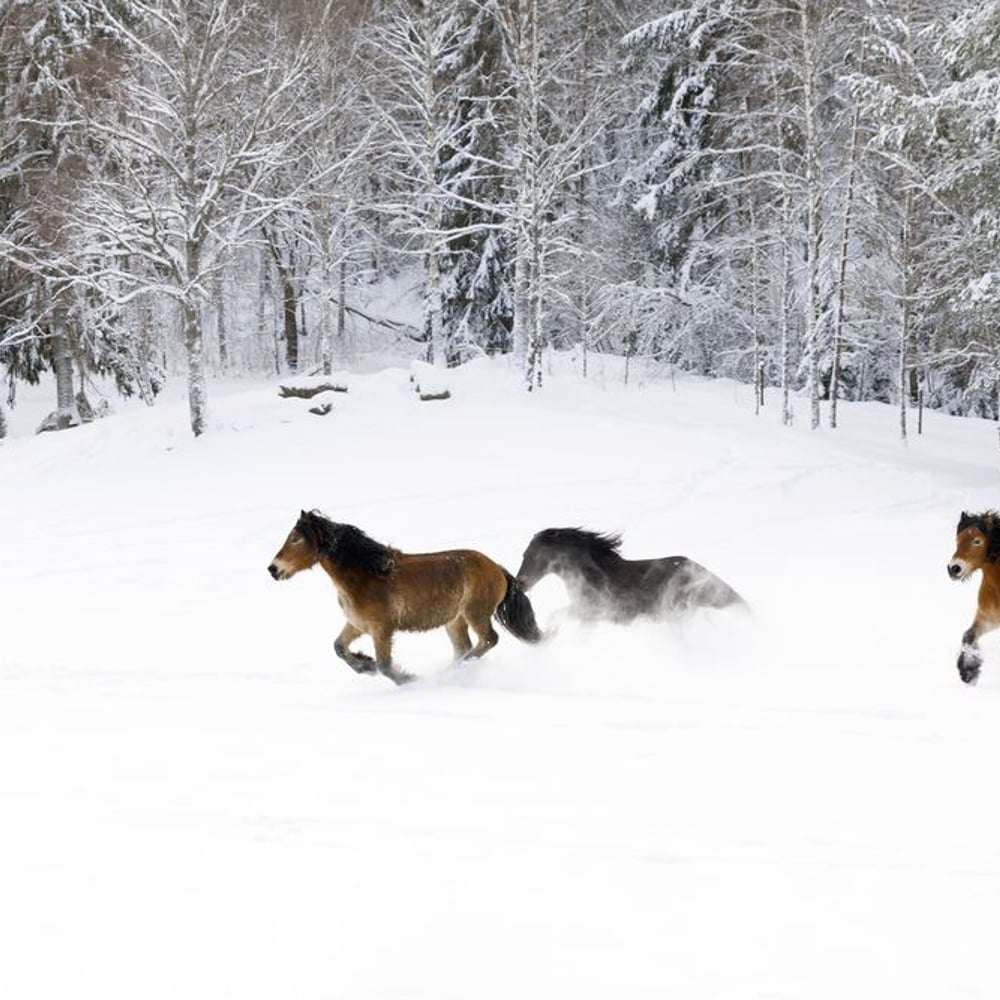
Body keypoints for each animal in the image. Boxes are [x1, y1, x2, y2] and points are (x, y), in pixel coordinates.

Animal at [268, 510, 542, 685]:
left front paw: (408, 679)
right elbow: (339, 647)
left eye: (296, 539)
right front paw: (365, 666)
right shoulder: (357, 625)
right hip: (455, 621)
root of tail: (496, 568)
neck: (367, 575)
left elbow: (385, 666)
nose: (273, 569)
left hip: (476, 614)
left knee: (488, 640)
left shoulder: (381, 630)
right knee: (464, 648)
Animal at [947, 510, 1000, 684]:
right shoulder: (988, 618)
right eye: (957, 540)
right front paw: (968, 672)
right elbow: (968, 635)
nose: (954, 568)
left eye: (977, 541)